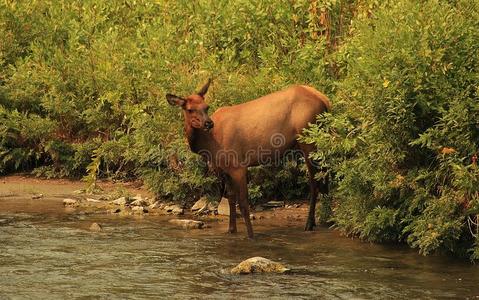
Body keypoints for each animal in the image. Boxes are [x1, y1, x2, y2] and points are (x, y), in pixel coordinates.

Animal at [167, 78, 332, 238]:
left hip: (308, 141)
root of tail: (325, 100)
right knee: (325, 175)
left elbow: (243, 203)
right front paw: (231, 230)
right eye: (190, 109)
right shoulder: (224, 169)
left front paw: (251, 236)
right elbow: (230, 198)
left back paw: (310, 224)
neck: (209, 144)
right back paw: (325, 219)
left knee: (315, 182)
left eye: (206, 107)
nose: (208, 123)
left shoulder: (238, 166)